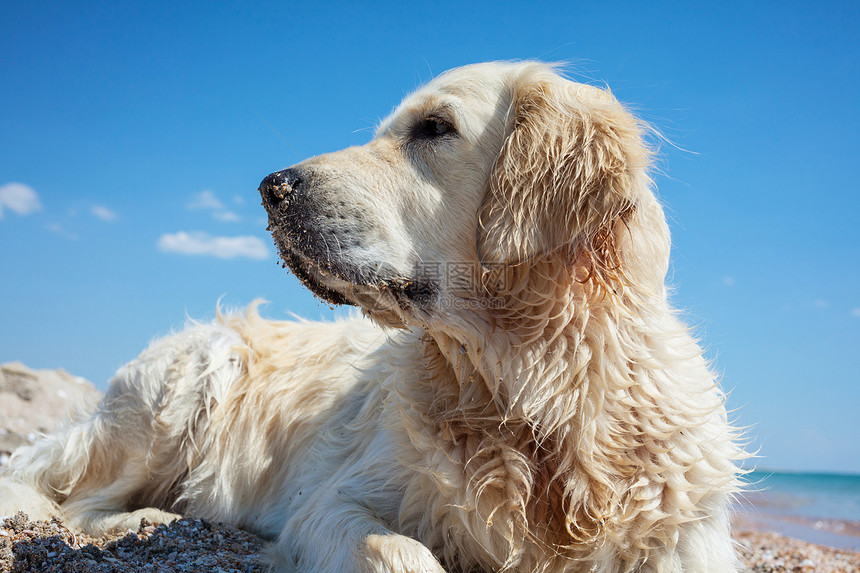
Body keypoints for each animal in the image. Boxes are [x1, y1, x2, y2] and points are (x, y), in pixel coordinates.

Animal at [0, 60, 744, 568]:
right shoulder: (331, 502)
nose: (271, 188)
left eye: (434, 128)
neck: (529, 394)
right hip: (193, 374)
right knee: (63, 493)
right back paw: (142, 520)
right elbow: (403, 552)